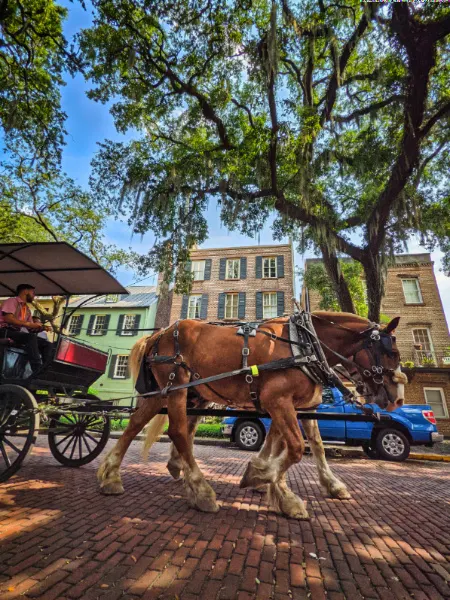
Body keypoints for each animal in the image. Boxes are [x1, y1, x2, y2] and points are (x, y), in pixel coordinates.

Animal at [96, 312, 406, 516]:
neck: (303, 344)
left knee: (136, 423)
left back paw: (112, 477)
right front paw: (270, 484)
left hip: (166, 391)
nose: (397, 398)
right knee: (179, 432)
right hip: (176, 387)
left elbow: (310, 445)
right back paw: (201, 490)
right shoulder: (278, 400)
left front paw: (318, 484)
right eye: (392, 353)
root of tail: (157, 334)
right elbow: (294, 448)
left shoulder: (297, 405)